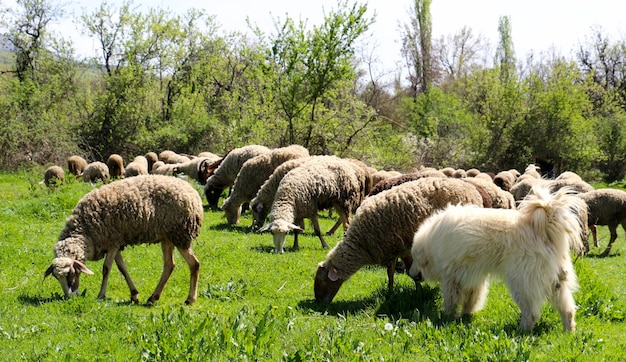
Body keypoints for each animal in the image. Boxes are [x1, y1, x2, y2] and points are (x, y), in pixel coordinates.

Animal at [44, 175, 202, 306]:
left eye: (71, 274)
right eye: (56, 277)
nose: (69, 297)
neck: (86, 231)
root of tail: (193, 193)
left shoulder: (113, 242)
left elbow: (106, 269)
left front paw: (101, 295)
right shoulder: (114, 244)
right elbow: (122, 268)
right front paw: (134, 295)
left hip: (181, 234)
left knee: (194, 264)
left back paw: (190, 299)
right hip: (167, 237)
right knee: (169, 265)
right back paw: (153, 298)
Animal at [314, 176, 486, 302]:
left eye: (322, 281)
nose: (319, 302)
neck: (362, 243)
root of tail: (472, 190)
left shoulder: (405, 249)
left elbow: (412, 273)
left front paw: (419, 291)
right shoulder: (391, 248)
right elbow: (390, 272)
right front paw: (390, 292)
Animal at [408, 185, 588, 332]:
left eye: (414, 259)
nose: (410, 273)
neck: (432, 241)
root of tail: (543, 229)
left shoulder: (451, 278)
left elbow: (451, 301)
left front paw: (447, 317)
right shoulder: (472, 277)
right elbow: (472, 299)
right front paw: (466, 314)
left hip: (521, 283)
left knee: (531, 313)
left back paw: (520, 331)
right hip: (555, 285)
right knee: (568, 310)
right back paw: (568, 332)